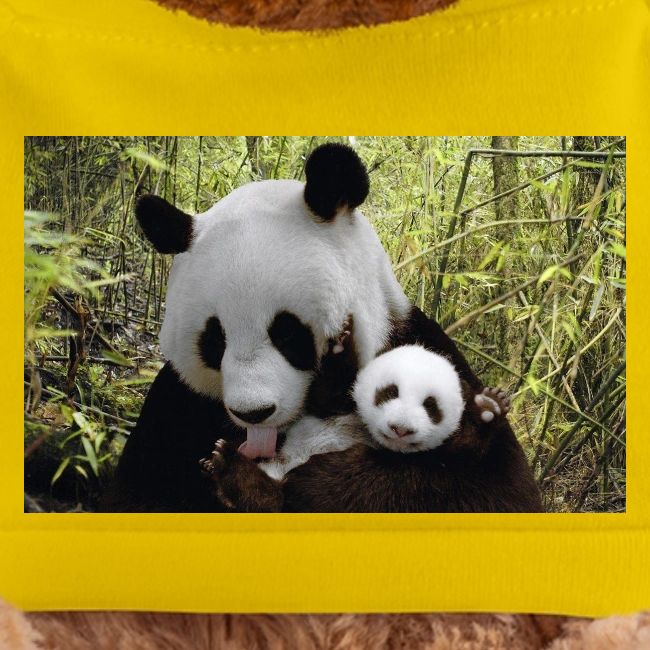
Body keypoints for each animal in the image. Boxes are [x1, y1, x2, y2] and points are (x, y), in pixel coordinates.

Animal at [101, 143, 538, 513]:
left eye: (287, 333)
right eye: (215, 340)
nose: (254, 413)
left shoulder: (421, 347)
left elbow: (491, 488)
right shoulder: (179, 405)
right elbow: (139, 492)